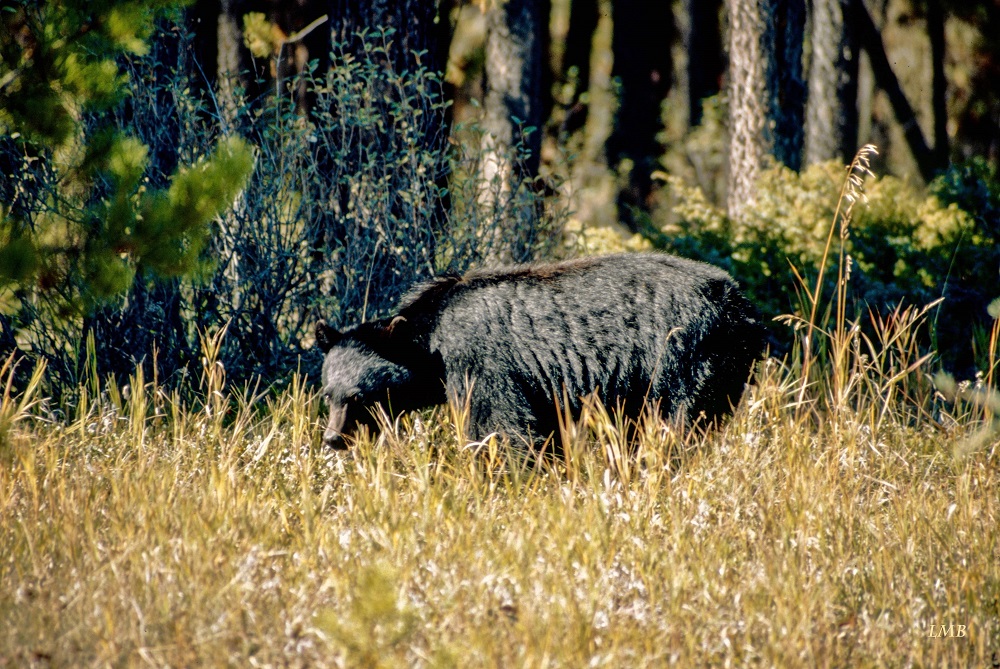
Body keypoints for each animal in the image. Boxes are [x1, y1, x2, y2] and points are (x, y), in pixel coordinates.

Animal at [316, 250, 760, 448]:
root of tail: (739, 302)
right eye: (328, 394)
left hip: (683, 355)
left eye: (359, 396)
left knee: (677, 419)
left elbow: (499, 426)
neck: (430, 342)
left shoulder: (481, 364)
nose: (333, 438)